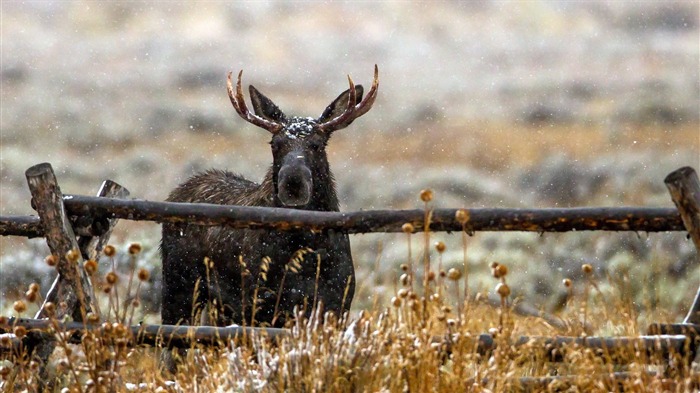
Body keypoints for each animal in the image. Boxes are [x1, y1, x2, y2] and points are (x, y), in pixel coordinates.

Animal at [160, 66, 378, 364]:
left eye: (317, 145)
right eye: (275, 144)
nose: (293, 182)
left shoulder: (336, 304)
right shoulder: (259, 304)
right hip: (179, 285)